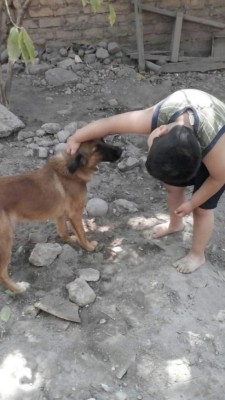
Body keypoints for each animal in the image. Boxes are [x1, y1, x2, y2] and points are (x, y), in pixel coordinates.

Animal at [0, 139, 121, 292]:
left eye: (103, 140)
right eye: (97, 148)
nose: (121, 150)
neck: (70, 169)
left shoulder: (60, 214)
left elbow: (63, 231)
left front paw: (70, 239)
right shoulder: (75, 214)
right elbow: (82, 233)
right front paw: (88, 247)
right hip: (5, 240)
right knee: (2, 274)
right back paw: (18, 288)